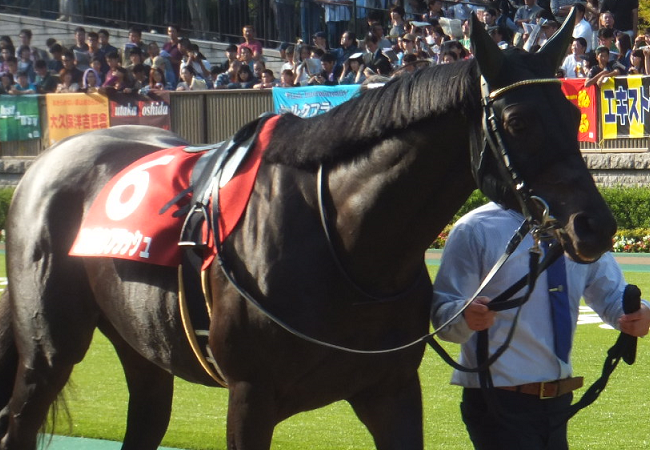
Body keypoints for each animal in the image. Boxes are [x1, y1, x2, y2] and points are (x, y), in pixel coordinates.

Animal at [0, 12, 616, 450]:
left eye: (573, 112)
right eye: (517, 122)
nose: (596, 225)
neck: (343, 243)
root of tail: (45, 163)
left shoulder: (391, 392)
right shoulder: (250, 399)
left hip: (142, 345)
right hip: (48, 350)